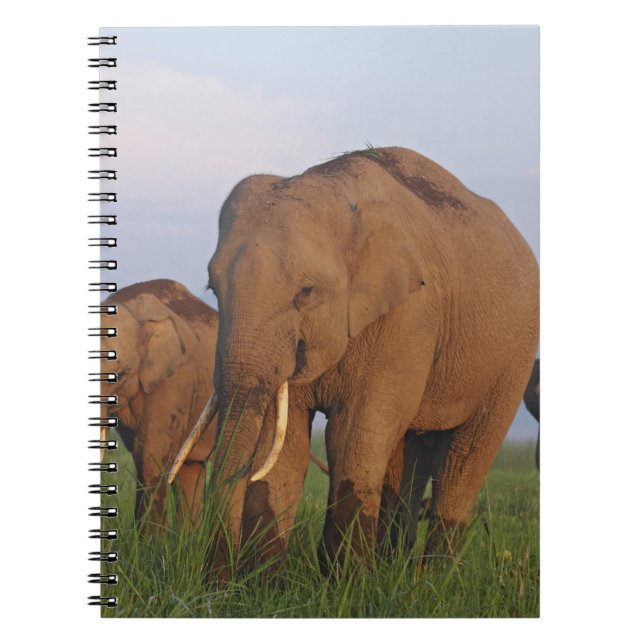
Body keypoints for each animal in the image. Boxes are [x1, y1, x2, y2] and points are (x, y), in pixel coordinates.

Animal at [170, 146, 539, 578]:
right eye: (213, 289)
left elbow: (353, 435)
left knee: (465, 459)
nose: (215, 582)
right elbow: (285, 444)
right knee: (407, 455)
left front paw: (341, 581)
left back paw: (429, 581)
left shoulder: (408, 315)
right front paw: (267, 584)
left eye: (306, 292)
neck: (338, 187)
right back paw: (393, 573)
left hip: (514, 356)